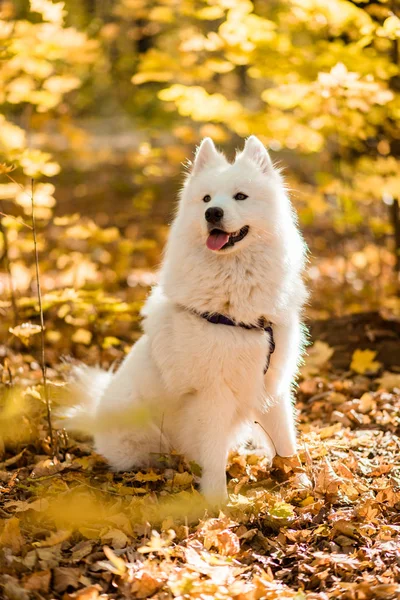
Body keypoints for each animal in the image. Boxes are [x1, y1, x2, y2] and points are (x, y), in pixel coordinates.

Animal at [66, 136, 310, 502]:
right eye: (206, 199)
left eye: (240, 196)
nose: (213, 213)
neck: (234, 293)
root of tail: (95, 415)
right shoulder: (211, 395)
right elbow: (212, 458)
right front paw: (219, 503)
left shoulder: (272, 384)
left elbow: (285, 442)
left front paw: (303, 484)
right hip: (141, 437)